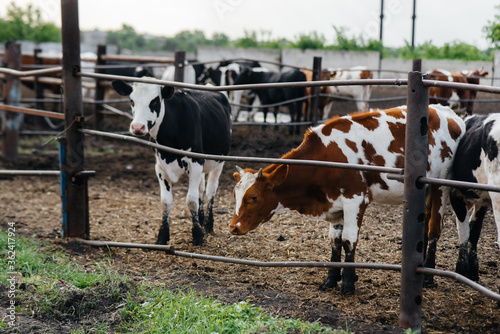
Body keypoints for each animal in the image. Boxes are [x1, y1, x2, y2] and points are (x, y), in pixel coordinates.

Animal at [111, 77, 232, 245]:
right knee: (201, 189)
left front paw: (197, 236)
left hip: (219, 162)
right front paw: (162, 236)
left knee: (210, 191)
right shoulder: (160, 167)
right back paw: (201, 220)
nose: (137, 127)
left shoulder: (195, 163)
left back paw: (208, 226)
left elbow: (191, 200)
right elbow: (165, 202)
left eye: (155, 101)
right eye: (131, 100)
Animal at [229, 105, 464, 294]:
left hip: (440, 186)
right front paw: (331, 280)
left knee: (434, 229)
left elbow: (349, 240)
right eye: (235, 195)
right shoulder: (335, 207)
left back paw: (429, 276)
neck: (328, 159)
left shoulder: (355, 199)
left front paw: (348, 284)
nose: (233, 227)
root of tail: (447, 113)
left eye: (253, 197)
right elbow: (335, 242)